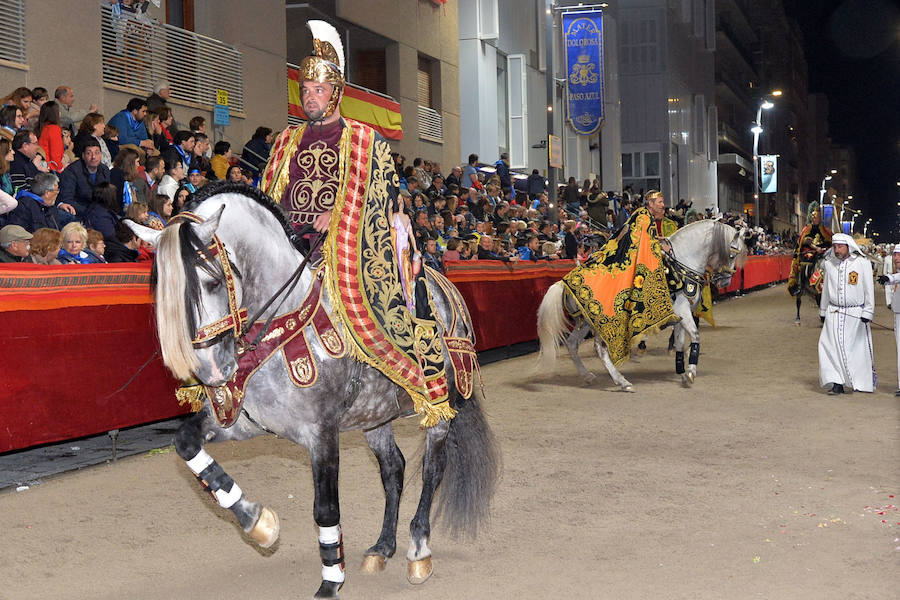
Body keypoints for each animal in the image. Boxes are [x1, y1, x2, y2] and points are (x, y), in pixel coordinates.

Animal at [126, 180, 500, 596]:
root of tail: (443, 285)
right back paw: (382, 547)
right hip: (375, 417)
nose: (211, 371)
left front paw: (330, 581)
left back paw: (418, 549)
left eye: (211, 281)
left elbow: (326, 507)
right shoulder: (245, 423)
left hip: (439, 409)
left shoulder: (322, 433)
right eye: (164, 293)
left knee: (433, 469)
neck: (284, 323)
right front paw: (259, 523)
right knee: (394, 470)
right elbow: (187, 443)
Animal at [536, 218, 744, 392]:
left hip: (585, 322)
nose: (725, 280)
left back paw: (588, 376)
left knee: (572, 344)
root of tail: (564, 282)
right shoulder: (683, 311)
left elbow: (679, 343)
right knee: (600, 349)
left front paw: (682, 373)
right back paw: (622, 382)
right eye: (732, 254)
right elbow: (695, 336)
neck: (682, 264)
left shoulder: (679, 317)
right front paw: (691, 372)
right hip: (602, 324)